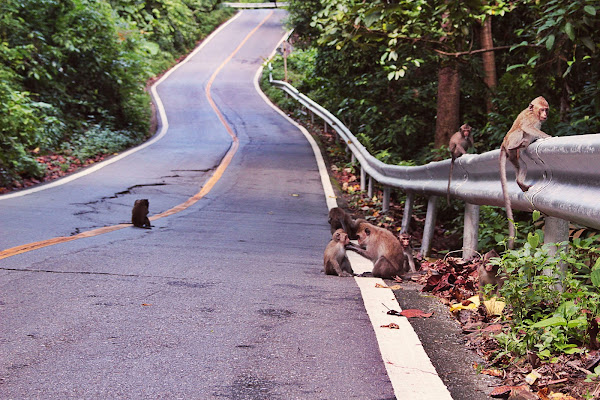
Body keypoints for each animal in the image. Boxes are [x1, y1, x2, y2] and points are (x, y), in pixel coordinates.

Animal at [500, 95, 552, 248]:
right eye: (542, 109)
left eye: (546, 109)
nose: (545, 114)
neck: (532, 112)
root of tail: (504, 143)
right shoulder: (531, 118)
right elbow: (527, 127)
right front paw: (548, 136)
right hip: (511, 140)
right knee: (519, 131)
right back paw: (516, 145)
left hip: (513, 157)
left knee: (522, 166)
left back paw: (520, 182)